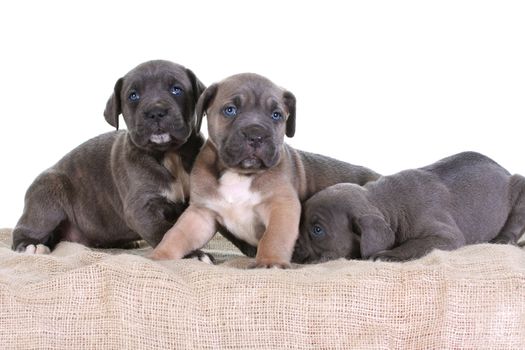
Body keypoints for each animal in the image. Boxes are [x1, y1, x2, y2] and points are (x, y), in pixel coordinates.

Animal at [11, 58, 205, 253]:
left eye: (176, 89)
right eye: (133, 96)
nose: (155, 112)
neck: (169, 153)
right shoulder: (141, 208)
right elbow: (165, 232)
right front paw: (193, 255)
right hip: (47, 197)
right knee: (24, 230)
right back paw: (31, 245)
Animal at [149, 72, 378, 266]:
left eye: (276, 115)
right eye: (230, 110)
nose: (256, 134)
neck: (239, 174)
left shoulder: (281, 206)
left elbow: (274, 237)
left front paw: (270, 262)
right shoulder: (201, 213)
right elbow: (177, 234)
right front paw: (159, 256)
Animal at [292, 151, 524, 262]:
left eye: (317, 230)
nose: (290, 245)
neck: (386, 204)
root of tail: (504, 170)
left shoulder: (445, 235)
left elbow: (414, 245)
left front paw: (389, 255)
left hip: (519, 187)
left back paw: (502, 239)